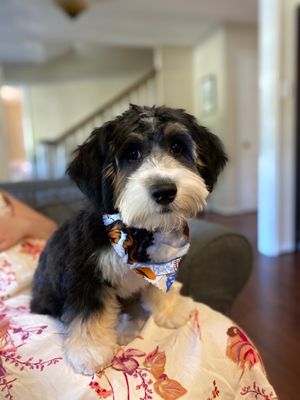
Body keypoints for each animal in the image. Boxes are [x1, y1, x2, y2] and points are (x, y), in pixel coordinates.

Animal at [31, 104, 227, 374]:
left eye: (177, 147)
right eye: (132, 153)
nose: (164, 191)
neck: (136, 233)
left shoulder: (159, 266)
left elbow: (159, 289)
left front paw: (170, 309)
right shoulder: (85, 276)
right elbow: (89, 313)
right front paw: (89, 350)